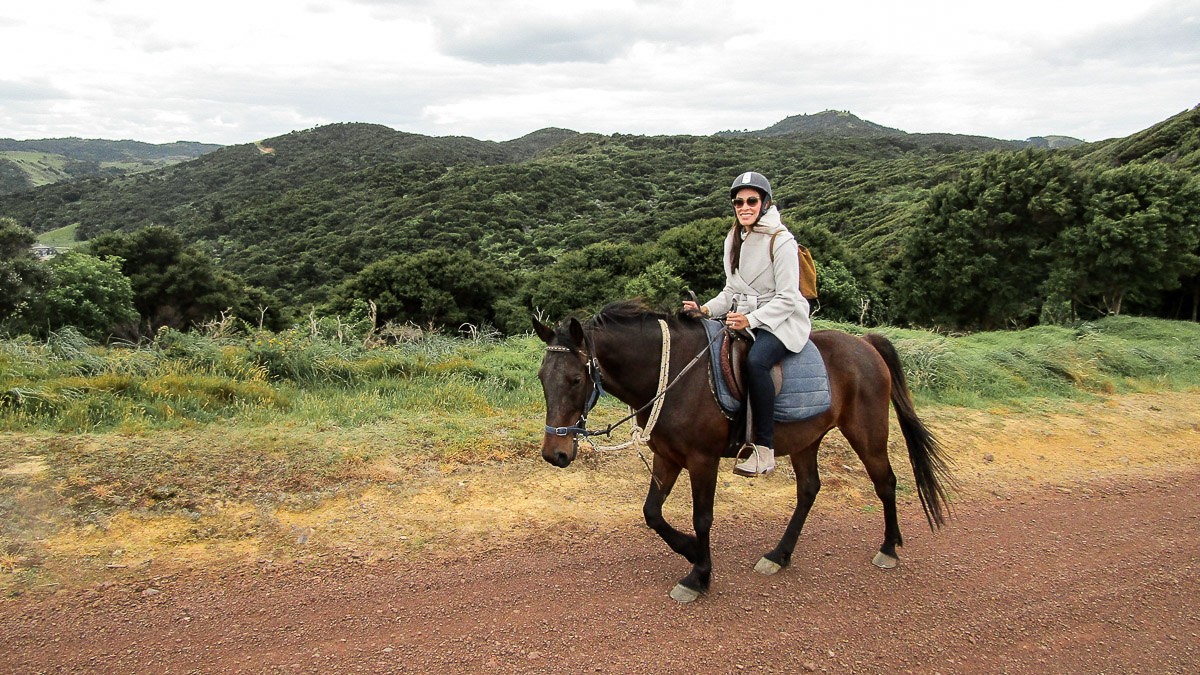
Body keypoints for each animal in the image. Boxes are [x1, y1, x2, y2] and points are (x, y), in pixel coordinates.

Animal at [535, 296, 955, 600]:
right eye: (542, 377)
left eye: (575, 379)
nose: (554, 453)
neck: (672, 373)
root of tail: (866, 343)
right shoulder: (667, 456)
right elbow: (652, 513)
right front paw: (691, 551)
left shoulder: (702, 460)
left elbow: (702, 518)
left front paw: (699, 575)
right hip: (806, 439)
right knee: (809, 490)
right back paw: (779, 555)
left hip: (867, 432)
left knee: (885, 482)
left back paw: (888, 548)